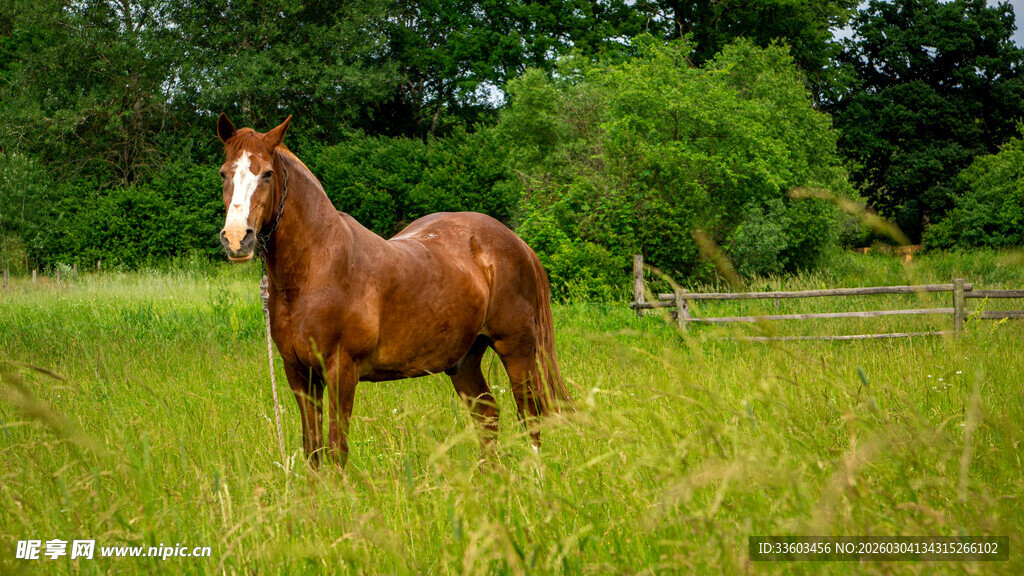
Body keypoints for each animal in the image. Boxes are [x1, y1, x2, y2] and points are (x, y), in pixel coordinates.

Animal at [215, 114, 573, 467]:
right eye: (224, 173)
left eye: (267, 174)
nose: (237, 238)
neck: (314, 271)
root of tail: (516, 243)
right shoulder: (299, 372)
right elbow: (313, 450)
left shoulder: (341, 370)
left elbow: (337, 448)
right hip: (465, 359)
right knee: (487, 415)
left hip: (516, 350)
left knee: (529, 416)